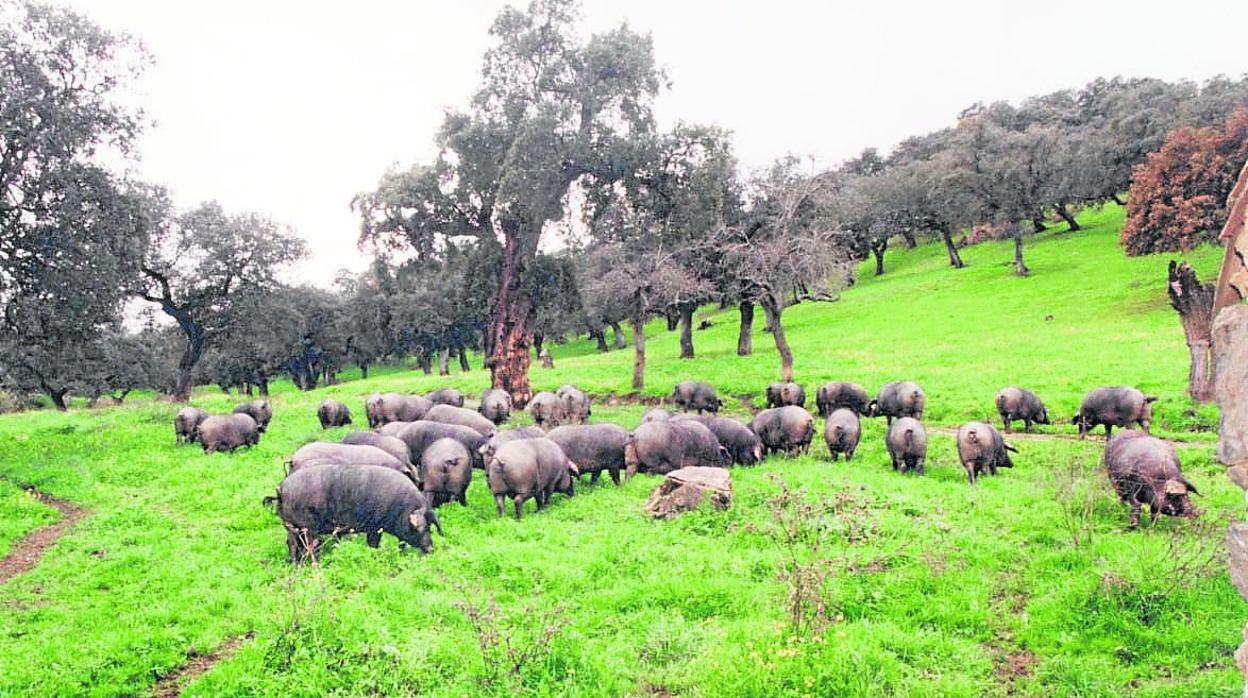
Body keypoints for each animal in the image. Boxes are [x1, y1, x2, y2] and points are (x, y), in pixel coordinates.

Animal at [275, 464, 441, 561]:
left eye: (430, 526)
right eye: (423, 527)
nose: (431, 549)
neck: (400, 507)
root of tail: (282, 488)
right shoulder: (374, 526)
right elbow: (373, 544)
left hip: (290, 525)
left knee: (292, 544)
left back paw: (295, 564)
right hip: (308, 526)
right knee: (311, 546)